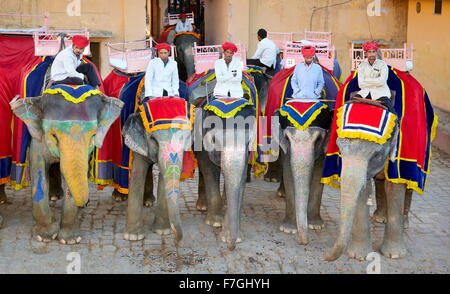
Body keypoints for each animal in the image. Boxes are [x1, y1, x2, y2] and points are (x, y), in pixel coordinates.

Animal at [10, 92, 123, 243]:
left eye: (93, 135)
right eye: (53, 135)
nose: (84, 202)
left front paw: (70, 239)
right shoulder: (38, 138)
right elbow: (38, 167)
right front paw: (45, 236)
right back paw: (54, 197)